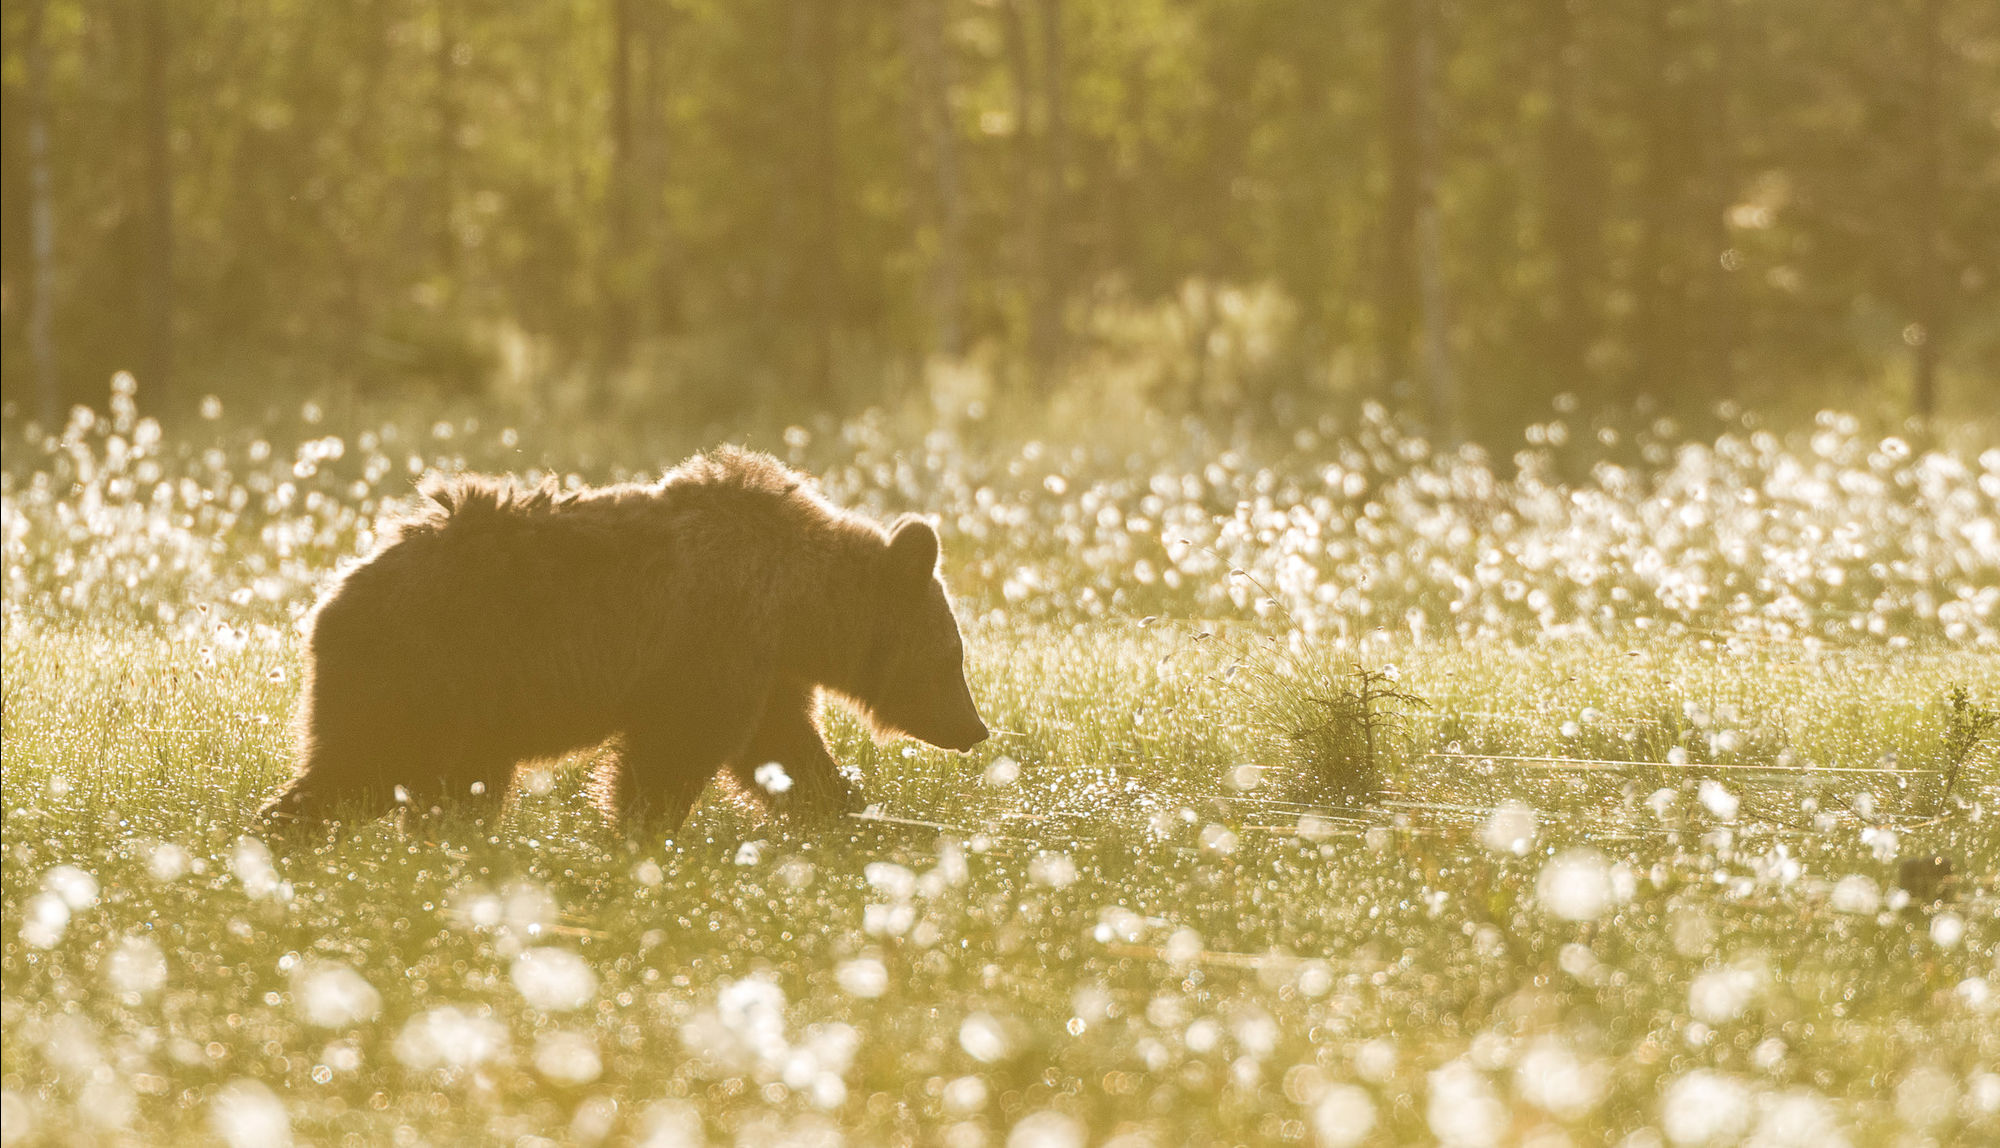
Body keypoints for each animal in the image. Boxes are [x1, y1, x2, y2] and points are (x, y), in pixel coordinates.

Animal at [262, 447, 989, 840]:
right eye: (952, 658)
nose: (975, 728)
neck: (796, 606)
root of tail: (326, 602)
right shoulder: (709, 642)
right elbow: (672, 753)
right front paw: (640, 836)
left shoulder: (765, 670)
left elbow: (782, 752)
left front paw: (851, 813)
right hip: (424, 672)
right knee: (359, 769)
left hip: (472, 714)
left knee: (454, 790)